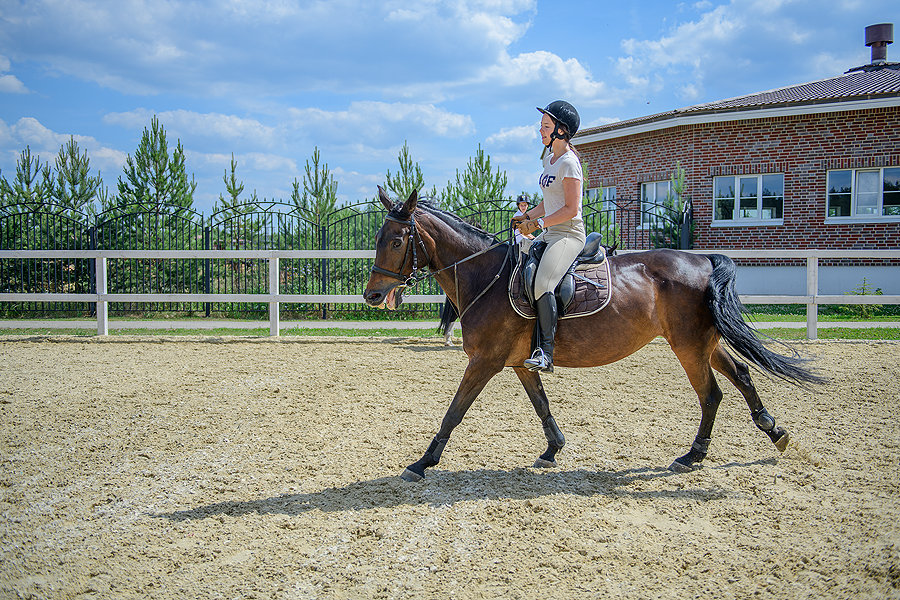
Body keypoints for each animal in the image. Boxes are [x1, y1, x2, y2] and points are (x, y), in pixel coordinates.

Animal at [364, 189, 824, 482]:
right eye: (378, 238)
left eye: (397, 240)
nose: (372, 295)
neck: (487, 276)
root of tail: (704, 260)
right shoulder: (518, 362)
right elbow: (542, 405)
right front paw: (553, 449)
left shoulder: (485, 362)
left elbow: (454, 412)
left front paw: (422, 462)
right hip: (704, 343)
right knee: (741, 376)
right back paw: (774, 432)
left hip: (689, 345)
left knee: (711, 393)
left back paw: (692, 455)